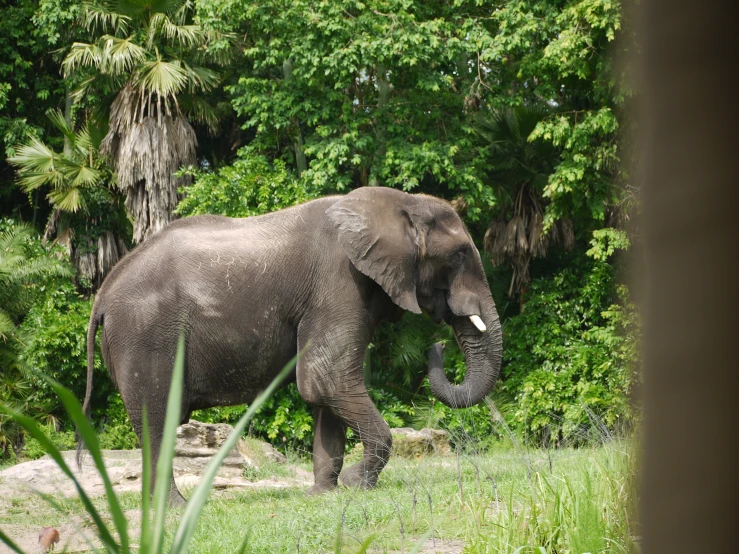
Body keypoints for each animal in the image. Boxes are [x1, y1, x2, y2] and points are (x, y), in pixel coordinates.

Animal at [79, 184, 502, 500]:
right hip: (144, 335)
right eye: (460, 255)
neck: (399, 203)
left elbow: (325, 390)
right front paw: (355, 485)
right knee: (159, 421)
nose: (438, 347)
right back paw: (173, 510)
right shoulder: (338, 282)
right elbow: (326, 378)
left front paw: (325, 494)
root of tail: (103, 293)